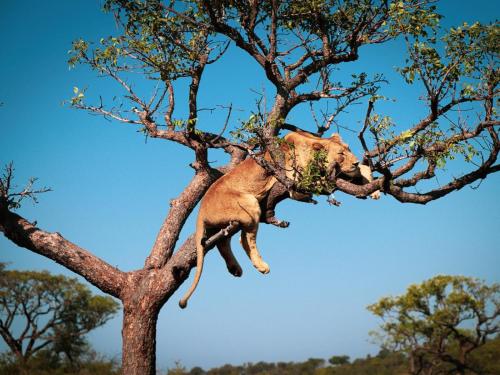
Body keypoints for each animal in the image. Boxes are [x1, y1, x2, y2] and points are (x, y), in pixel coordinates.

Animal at [180, 130, 372, 308]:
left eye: (349, 149)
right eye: (341, 154)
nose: (355, 162)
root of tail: (201, 209)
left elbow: (361, 171)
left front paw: (370, 184)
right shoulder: (294, 179)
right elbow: (315, 184)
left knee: (224, 241)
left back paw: (235, 269)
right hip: (249, 203)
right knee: (245, 240)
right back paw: (261, 266)